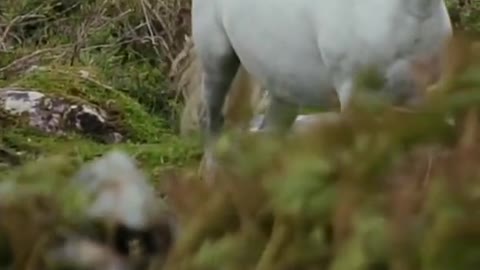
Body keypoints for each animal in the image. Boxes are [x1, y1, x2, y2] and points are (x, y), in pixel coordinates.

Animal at [192, 0, 454, 171]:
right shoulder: (356, 100)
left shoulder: (423, 99)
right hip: (219, 63)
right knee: (213, 127)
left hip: (282, 93)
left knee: (269, 138)